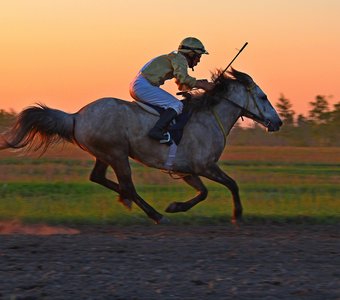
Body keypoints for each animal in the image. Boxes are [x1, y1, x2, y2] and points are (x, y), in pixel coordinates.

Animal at [0, 68, 282, 223]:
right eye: (263, 96)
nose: (278, 122)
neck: (209, 118)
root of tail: (76, 116)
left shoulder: (187, 169)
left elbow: (203, 192)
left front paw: (176, 206)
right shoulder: (205, 166)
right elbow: (231, 184)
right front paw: (237, 214)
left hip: (106, 154)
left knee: (100, 178)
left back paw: (130, 201)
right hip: (117, 154)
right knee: (128, 185)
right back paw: (153, 213)